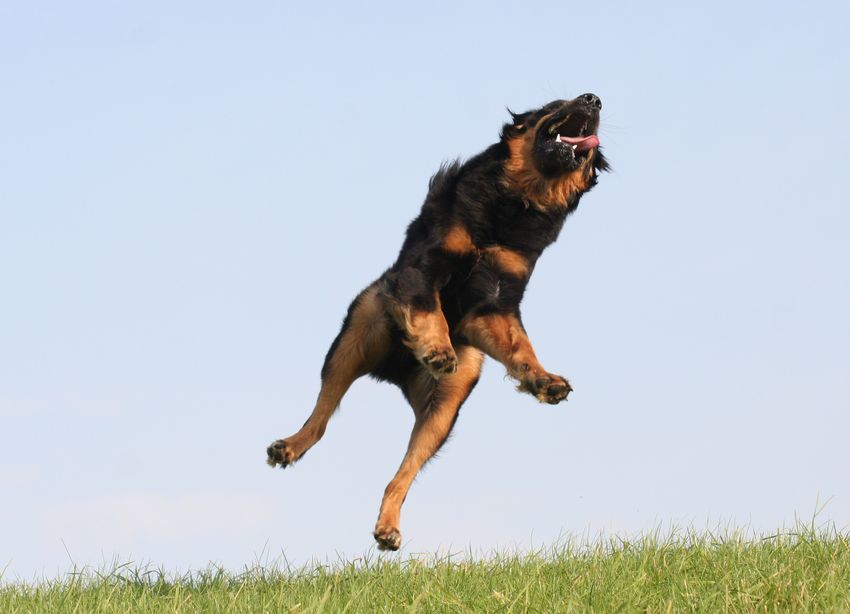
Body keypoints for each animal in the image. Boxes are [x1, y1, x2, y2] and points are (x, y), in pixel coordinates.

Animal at [267, 94, 609, 551]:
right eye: (557, 103)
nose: (594, 99)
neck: (518, 201)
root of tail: (394, 371)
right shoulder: (425, 265)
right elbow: (430, 310)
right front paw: (437, 349)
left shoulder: (495, 301)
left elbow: (520, 345)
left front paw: (543, 380)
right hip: (357, 332)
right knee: (321, 416)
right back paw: (289, 446)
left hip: (445, 408)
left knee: (402, 475)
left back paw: (388, 528)